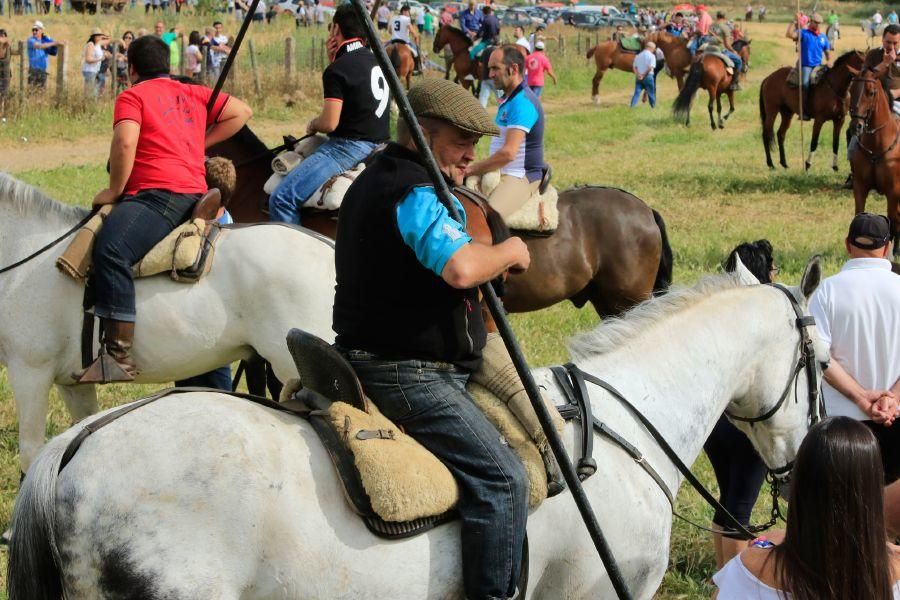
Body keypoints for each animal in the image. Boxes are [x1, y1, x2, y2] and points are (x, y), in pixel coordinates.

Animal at [852, 64, 900, 252]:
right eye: (851, 89)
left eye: (871, 92)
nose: (856, 126)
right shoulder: (860, 187)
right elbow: (858, 215)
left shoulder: (893, 193)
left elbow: (893, 223)